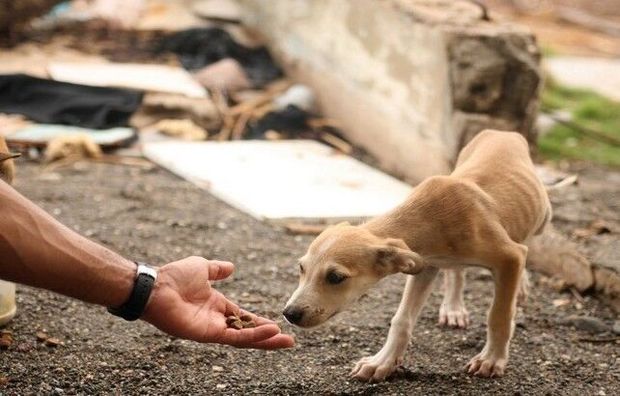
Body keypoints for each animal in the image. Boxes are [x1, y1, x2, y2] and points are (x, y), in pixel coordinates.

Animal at [284, 131, 548, 380]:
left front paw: (491, 359)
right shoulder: (425, 265)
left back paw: (520, 286)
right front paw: (382, 362)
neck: (430, 216)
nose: (289, 314)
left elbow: (499, 315)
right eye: (301, 268)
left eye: (336, 277)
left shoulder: (510, 256)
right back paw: (454, 308)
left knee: (526, 240)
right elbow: (401, 320)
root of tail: (502, 132)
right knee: (457, 272)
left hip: (542, 218)